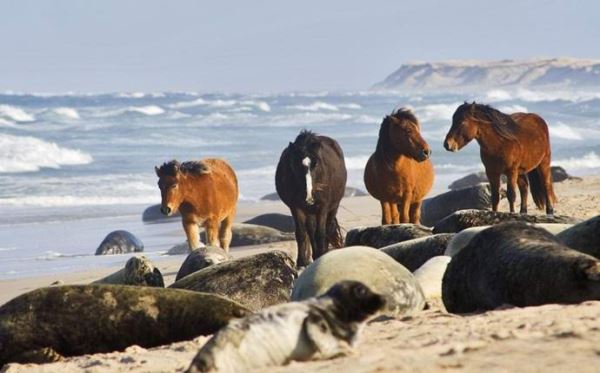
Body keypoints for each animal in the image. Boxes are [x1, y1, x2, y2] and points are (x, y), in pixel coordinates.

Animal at [276, 129, 346, 266]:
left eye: (316, 163)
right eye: (295, 164)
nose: (308, 197)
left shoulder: (323, 207)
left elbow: (321, 233)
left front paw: (322, 255)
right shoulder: (296, 207)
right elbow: (301, 233)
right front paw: (302, 261)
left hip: (333, 207)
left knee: (327, 229)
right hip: (309, 211)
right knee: (310, 231)